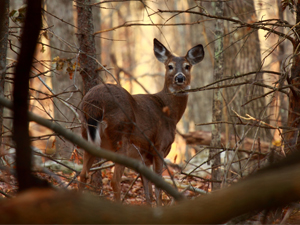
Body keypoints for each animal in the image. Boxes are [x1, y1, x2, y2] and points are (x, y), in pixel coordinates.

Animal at [78, 38, 204, 204]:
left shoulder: (143, 158)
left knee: (83, 175)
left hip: (86, 136)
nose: (180, 78)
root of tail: (94, 104)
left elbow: (147, 190)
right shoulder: (159, 146)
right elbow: (157, 186)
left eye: (187, 66)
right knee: (114, 180)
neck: (169, 112)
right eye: (169, 66)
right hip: (121, 137)